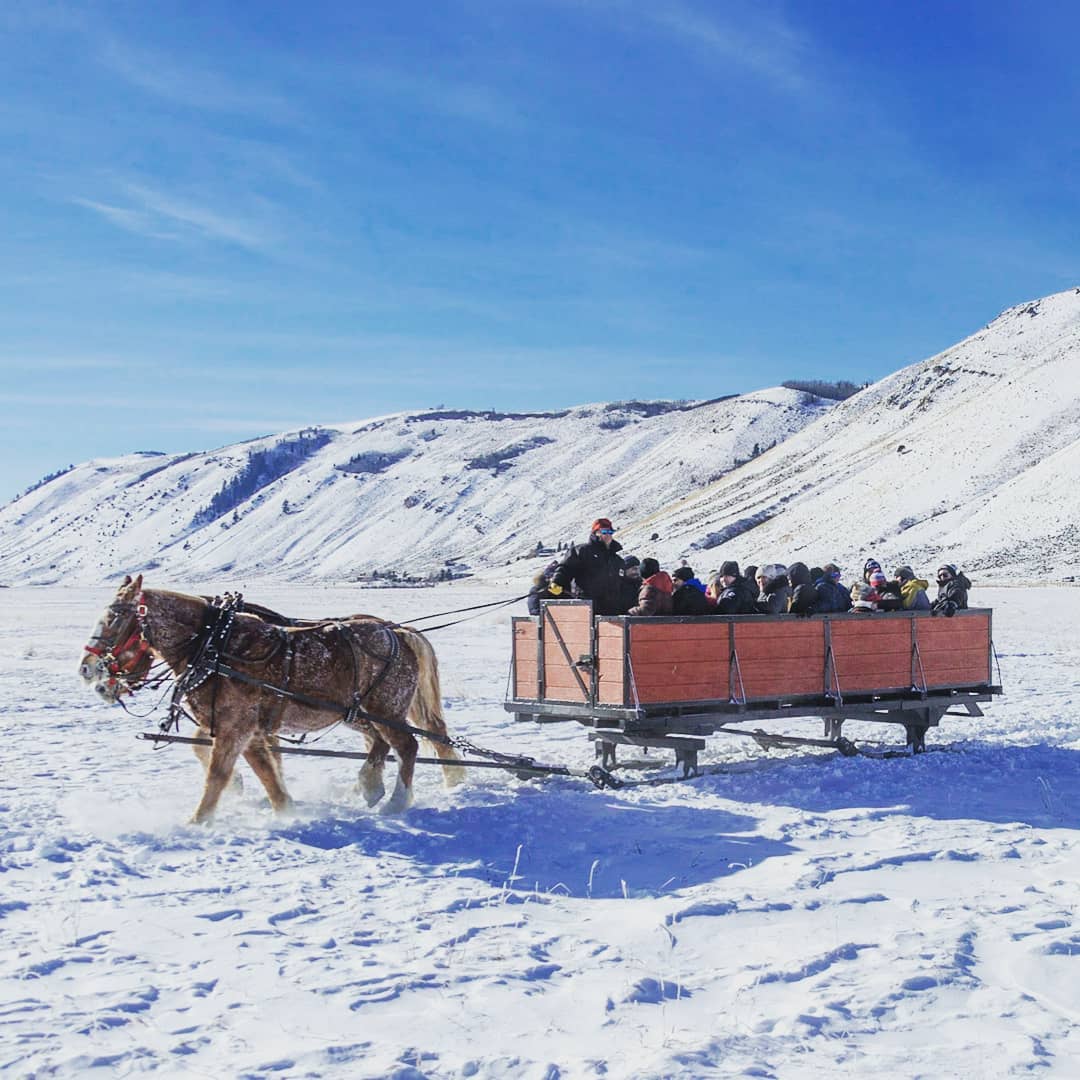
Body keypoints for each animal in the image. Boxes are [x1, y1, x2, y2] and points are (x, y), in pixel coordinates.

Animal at [76, 578, 464, 820]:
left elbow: (218, 773)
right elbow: (263, 768)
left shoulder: (235, 726)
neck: (214, 644)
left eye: (113, 619)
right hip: (360, 712)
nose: (87, 670)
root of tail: (397, 631)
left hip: (386, 707)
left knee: (408, 745)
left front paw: (198, 820)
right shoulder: (246, 729)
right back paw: (370, 786)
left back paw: (396, 800)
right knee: (383, 744)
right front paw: (281, 806)